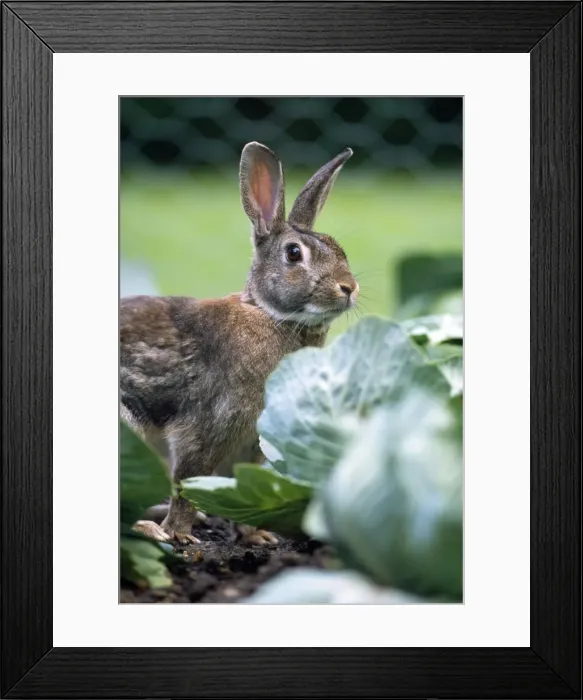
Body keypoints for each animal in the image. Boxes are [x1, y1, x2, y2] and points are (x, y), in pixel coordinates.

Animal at [121, 142, 358, 546]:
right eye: (294, 253)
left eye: (337, 247)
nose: (349, 287)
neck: (271, 315)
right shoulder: (207, 427)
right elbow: (188, 483)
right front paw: (181, 535)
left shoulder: (252, 445)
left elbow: (243, 490)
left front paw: (257, 537)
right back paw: (150, 530)